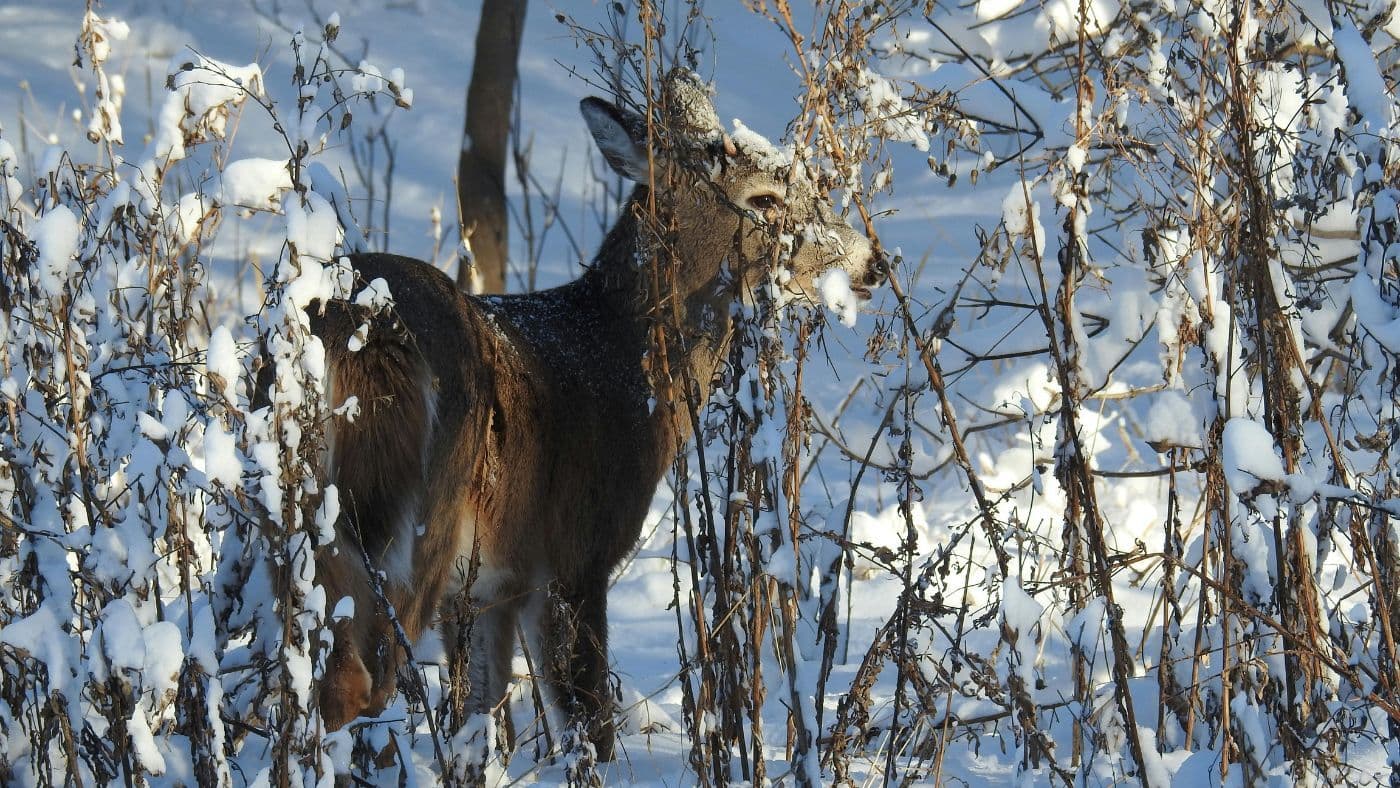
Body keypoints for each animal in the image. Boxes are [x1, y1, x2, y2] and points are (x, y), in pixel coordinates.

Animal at [303, 69, 885, 760]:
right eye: (765, 197)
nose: (873, 262)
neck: (621, 367)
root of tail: (357, 322)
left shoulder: (491, 587)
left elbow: (479, 715)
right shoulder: (574, 554)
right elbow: (588, 722)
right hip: (419, 523)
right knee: (356, 683)